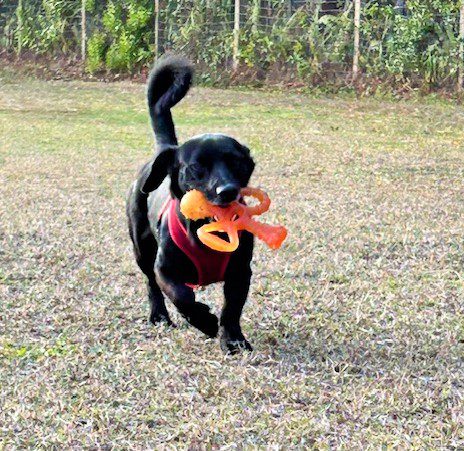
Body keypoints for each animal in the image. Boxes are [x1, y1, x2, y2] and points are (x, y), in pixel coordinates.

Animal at [125, 55, 256, 354]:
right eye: (197, 166)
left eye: (236, 162)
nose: (227, 190)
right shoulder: (164, 269)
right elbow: (181, 295)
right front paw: (205, 321)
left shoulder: (241, 272)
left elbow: (232, 309)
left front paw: (233, 339)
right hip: (141, 250)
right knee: (151, 284)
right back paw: (159, 315)